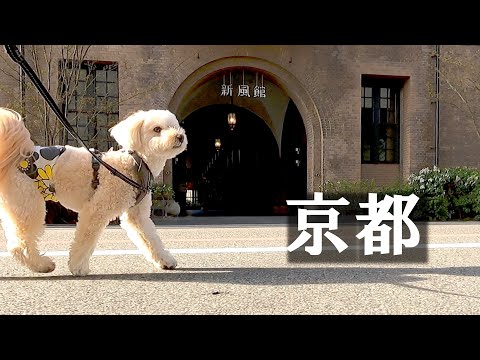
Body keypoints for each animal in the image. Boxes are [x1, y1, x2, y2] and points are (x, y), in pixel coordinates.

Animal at [0, 107, 188, 276]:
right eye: (157, 129)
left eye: (175, 126)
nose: (180, 136)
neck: (135, 164)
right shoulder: (96, 210)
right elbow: (85, 241)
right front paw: (77, 267)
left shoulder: (137, 216)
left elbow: (151, 239)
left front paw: (165, 260)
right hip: (29, 203)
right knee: (19, 245)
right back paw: (43, 265)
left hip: (18, 205)